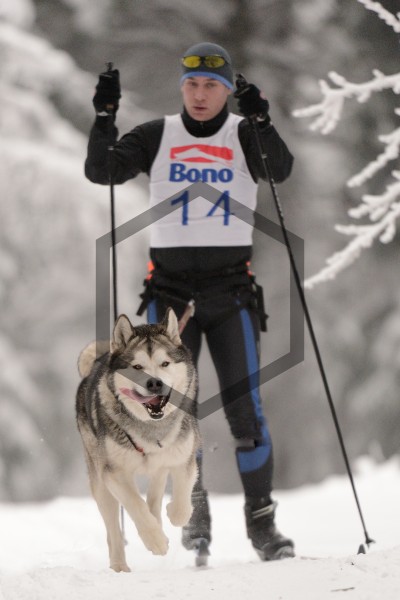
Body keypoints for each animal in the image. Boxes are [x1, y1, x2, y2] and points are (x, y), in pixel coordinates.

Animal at [76, 308, 199, 572]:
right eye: (137, 366)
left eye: (165, 363)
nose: (154, 383)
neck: (150, 429)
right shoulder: (114, 472)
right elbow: (136, 506)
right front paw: (155, 541)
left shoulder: (183, 458)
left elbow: (181, 503)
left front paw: (173, 514)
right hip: (100, 484)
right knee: (113, 528)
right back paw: (119, 566)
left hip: (158, 468)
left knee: (154, 495)